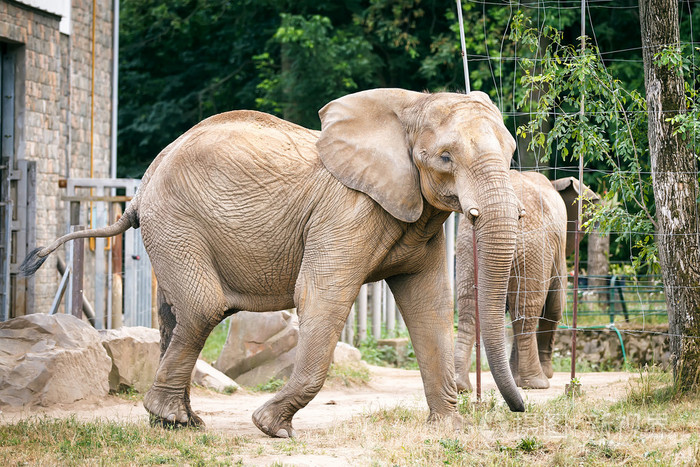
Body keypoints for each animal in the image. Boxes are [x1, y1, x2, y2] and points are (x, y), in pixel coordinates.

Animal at [21, 88, 525, 438]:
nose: (520, 407)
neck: (410, 107)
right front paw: (271, 428)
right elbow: (323, 296)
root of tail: (143, 183)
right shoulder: (346, 211)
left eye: (511, 153)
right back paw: (175, 420)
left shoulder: (419, 216)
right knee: (204, 308)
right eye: (444, 157)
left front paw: (450, 431)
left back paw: (175, 422)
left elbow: (429, 306)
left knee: (177, 313)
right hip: (176, 221)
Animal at [454, 171, 598, 391]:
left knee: (470, 307)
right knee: (527, 308)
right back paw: (538, 383)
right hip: (533, 248)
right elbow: (555, 306)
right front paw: (547, 374)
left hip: (467, 248)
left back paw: (461, 386)